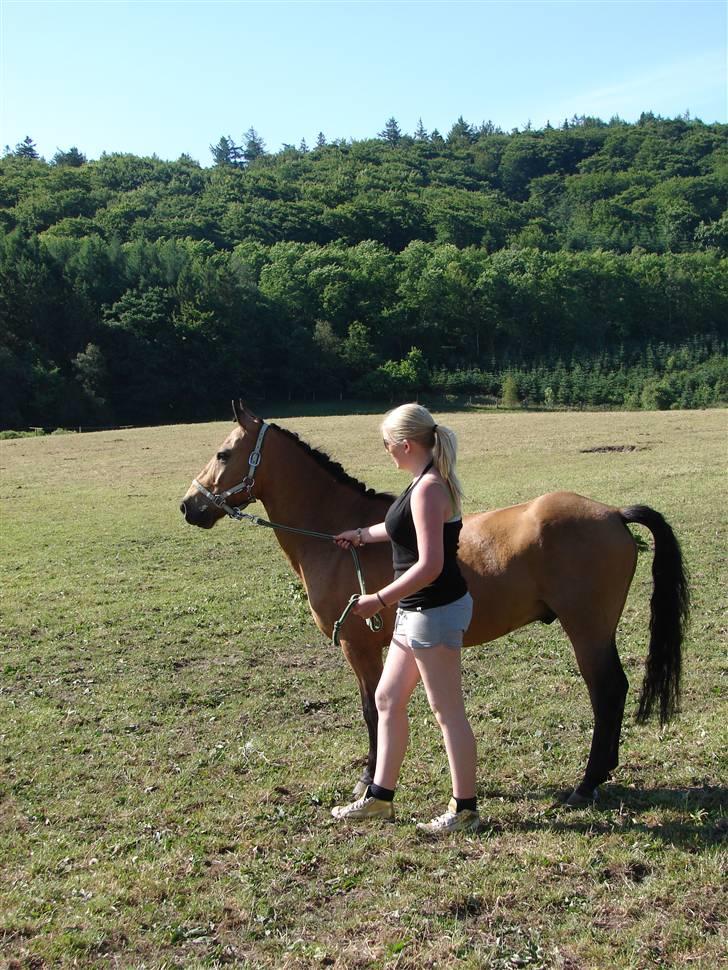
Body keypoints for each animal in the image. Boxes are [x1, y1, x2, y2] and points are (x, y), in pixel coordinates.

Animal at [180, 402, 689, 807]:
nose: (189, 506)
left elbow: (371, 710)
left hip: (586, 631)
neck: (333, 538)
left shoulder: (358, 646)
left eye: (223, 454)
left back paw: (586, 785)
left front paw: (368, 779)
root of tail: (613, 514)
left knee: (608, 692)